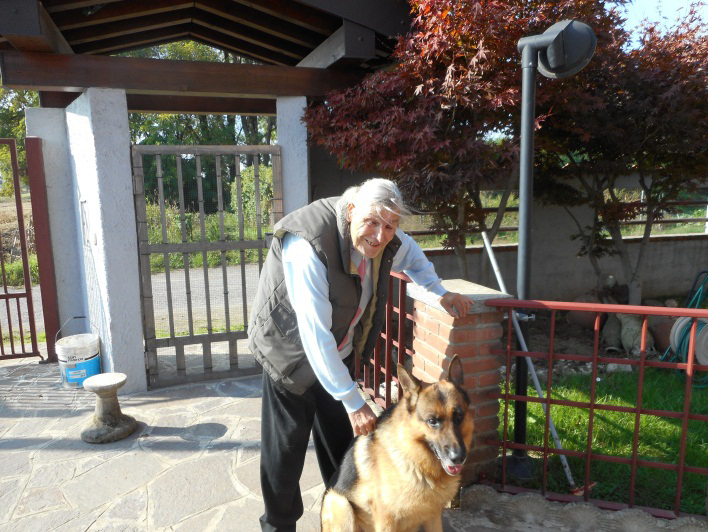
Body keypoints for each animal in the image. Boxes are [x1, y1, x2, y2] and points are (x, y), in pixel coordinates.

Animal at [322, 356, 476, 528]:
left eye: (459, 416)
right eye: (432, 421)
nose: (459, 458)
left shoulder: (434, 516)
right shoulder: (386, 521)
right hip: (340, 503)